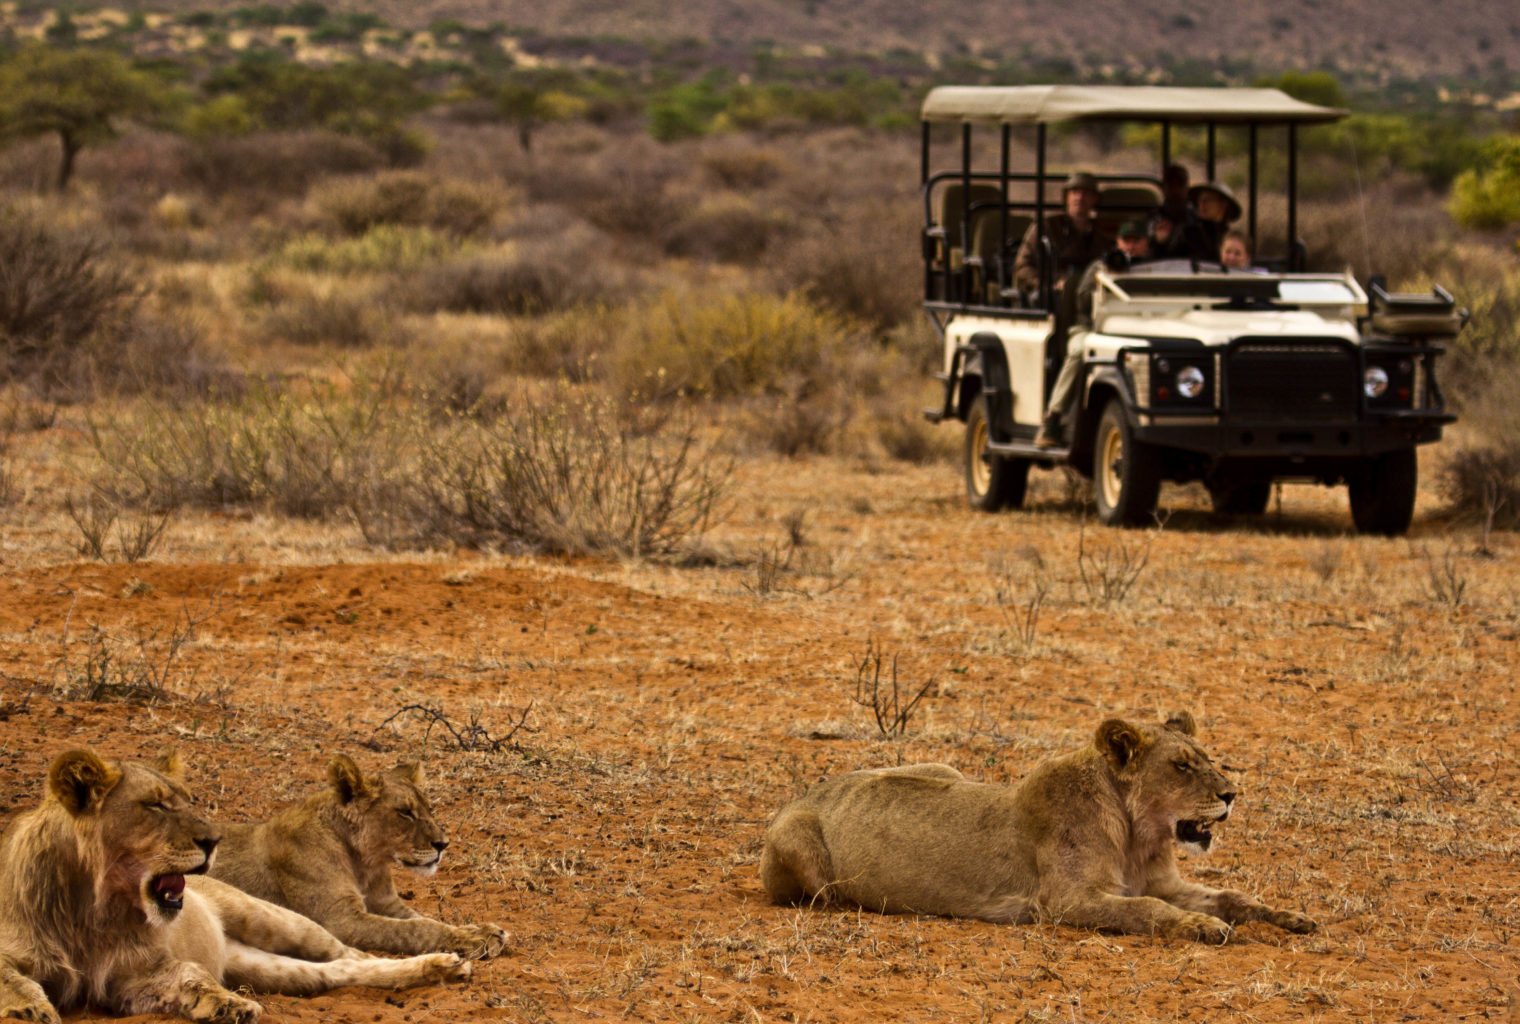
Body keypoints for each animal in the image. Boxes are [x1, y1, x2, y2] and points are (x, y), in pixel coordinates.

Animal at [0, 741, 471, 1020]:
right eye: (155, 806)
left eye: (188, 801)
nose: (444, 844)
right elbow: (11, 977)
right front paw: (29, 1009)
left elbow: (419, 925)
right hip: (271, 965)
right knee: (335, 973)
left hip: (279, 920)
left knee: (354, 957)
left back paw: (445, 966)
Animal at [208, 750, 507, 960]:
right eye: (405, 812)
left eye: (428, 809)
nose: (443, 844)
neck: (365, 862)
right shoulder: (341, 919)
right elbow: (418, 929)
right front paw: (476, 940)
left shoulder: (389, 905)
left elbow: (427, 920)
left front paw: (478, 931)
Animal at [760, 711, 1319, 941]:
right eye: (1181, 766)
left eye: (1206, 759)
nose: (1232, 795)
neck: (1137, 836)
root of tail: (805, 791)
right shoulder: (1068, 900)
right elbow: (1147, 910)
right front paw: (1204, 928)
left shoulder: (1166, 881)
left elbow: (1234, 897)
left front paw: (1292, 917)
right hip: (799, 845)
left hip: (944, 768)